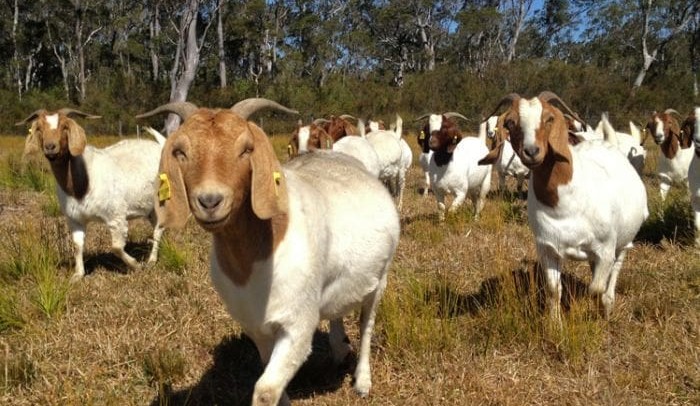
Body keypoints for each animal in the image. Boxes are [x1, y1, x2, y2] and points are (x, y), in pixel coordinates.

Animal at [18, 109, 165, 282]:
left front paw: (135, 265)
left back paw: (151, 260)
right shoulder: (74, 218)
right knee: (156, 226)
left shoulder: (116, 216)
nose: (50, 147)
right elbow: (77, 245)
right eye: (40, 128)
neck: (82, 183)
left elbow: (116, 247)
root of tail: (161, 145)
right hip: (150, 208)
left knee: (158, 229)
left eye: (65, 127)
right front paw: (78, 275)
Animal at [137, 98, 400, 406]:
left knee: (366, 325)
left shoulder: (298, 325)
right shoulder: (256, 327)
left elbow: (266, 389)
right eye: (181, 151)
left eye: (246, 148)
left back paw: (362, 381)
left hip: (381, 278)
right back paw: (339, 350)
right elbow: (269, 375)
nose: (210, 200)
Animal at [484, 91, 648, 322]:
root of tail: (607, 144)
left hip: (624, 241)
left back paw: (608, 305)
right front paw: (555, 324)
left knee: (615, 269)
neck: (567, 203)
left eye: (550, 118)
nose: (531, 151)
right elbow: (554, 290)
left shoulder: (605, 248)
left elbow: (595, 288)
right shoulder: (547, 249)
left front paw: (591, 311)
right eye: (510, 122)